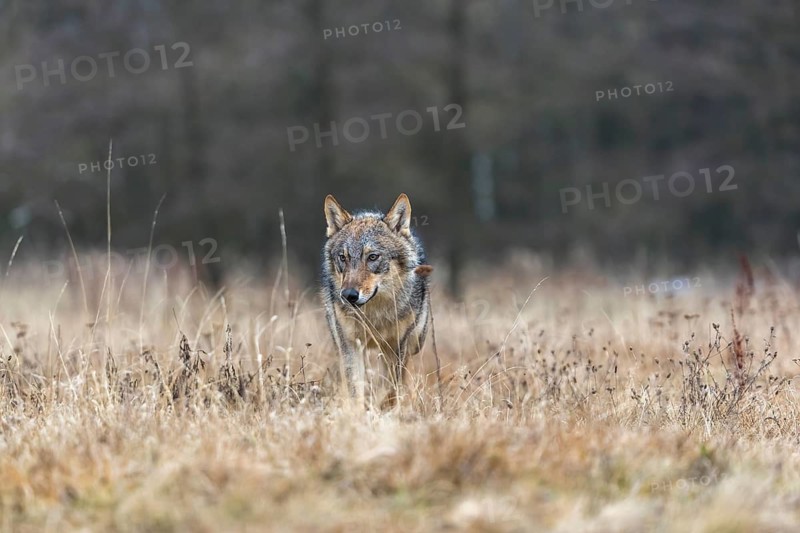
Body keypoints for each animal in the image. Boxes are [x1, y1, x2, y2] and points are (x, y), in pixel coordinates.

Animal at [321, 193, 432, 408]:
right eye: (343, 257)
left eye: (372, 257)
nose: (349, 295)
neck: (375, 314)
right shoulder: (351, 346)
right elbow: (356, 390)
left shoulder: (398, 346)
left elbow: (392, 388)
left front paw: (387, 408)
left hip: (413, 343)